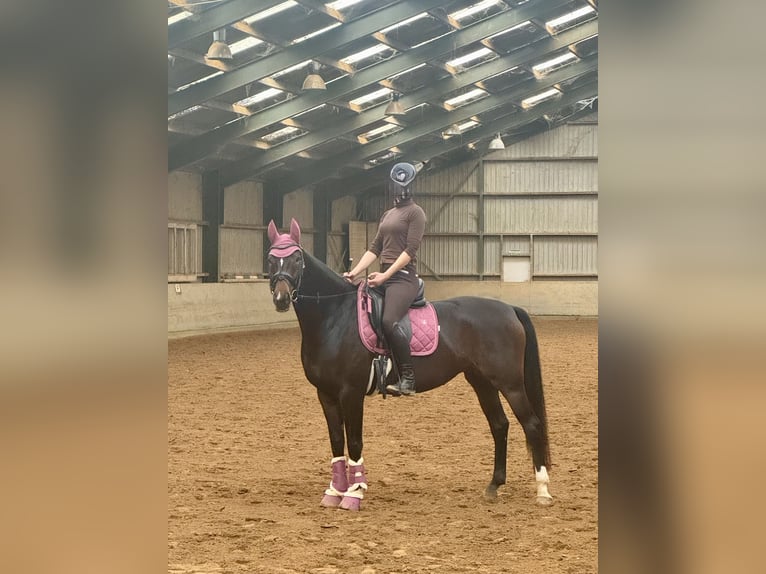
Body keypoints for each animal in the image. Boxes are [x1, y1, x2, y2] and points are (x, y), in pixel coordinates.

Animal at [266, 218, 552, 511]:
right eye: (270, 259)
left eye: (297, 259)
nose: (281, 298)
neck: (335, 317)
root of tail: (508, 308)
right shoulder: (326, 394)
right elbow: (336, 441)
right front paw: (334, 492)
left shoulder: (351, 393)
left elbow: (354, 441)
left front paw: (354, 495)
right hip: (482, 382)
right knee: (500, 425)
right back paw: (494, 485)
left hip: (510, 383)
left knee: (531, 424)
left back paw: (542, 490)